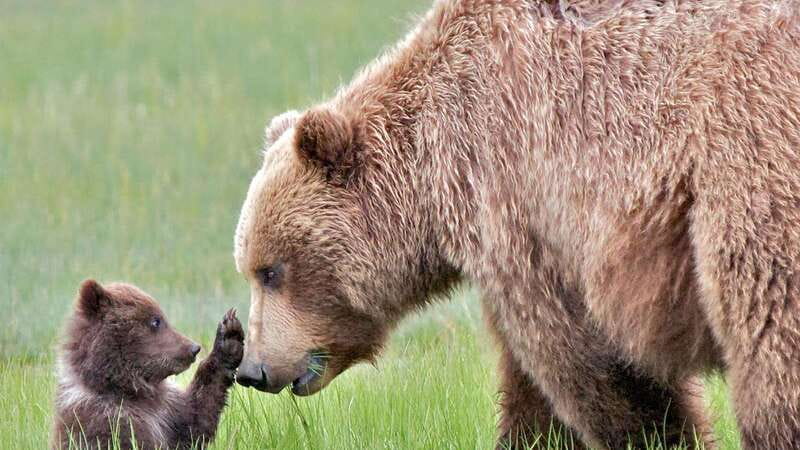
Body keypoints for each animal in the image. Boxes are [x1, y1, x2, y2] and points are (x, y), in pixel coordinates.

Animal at [52, 280, 244, 449]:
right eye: (156, 321)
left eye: (161, 317)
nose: (193, 348)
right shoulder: (102, 421)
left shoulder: (168, 411)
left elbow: (195, 420)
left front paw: (229, 336)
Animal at [232, 0, 800, 448]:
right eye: (250, 268)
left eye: (271, 271)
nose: (252, 370)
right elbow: (532, 390)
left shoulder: (520, 198)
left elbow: (585, 358)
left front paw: (661, 433)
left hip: (746, 169)